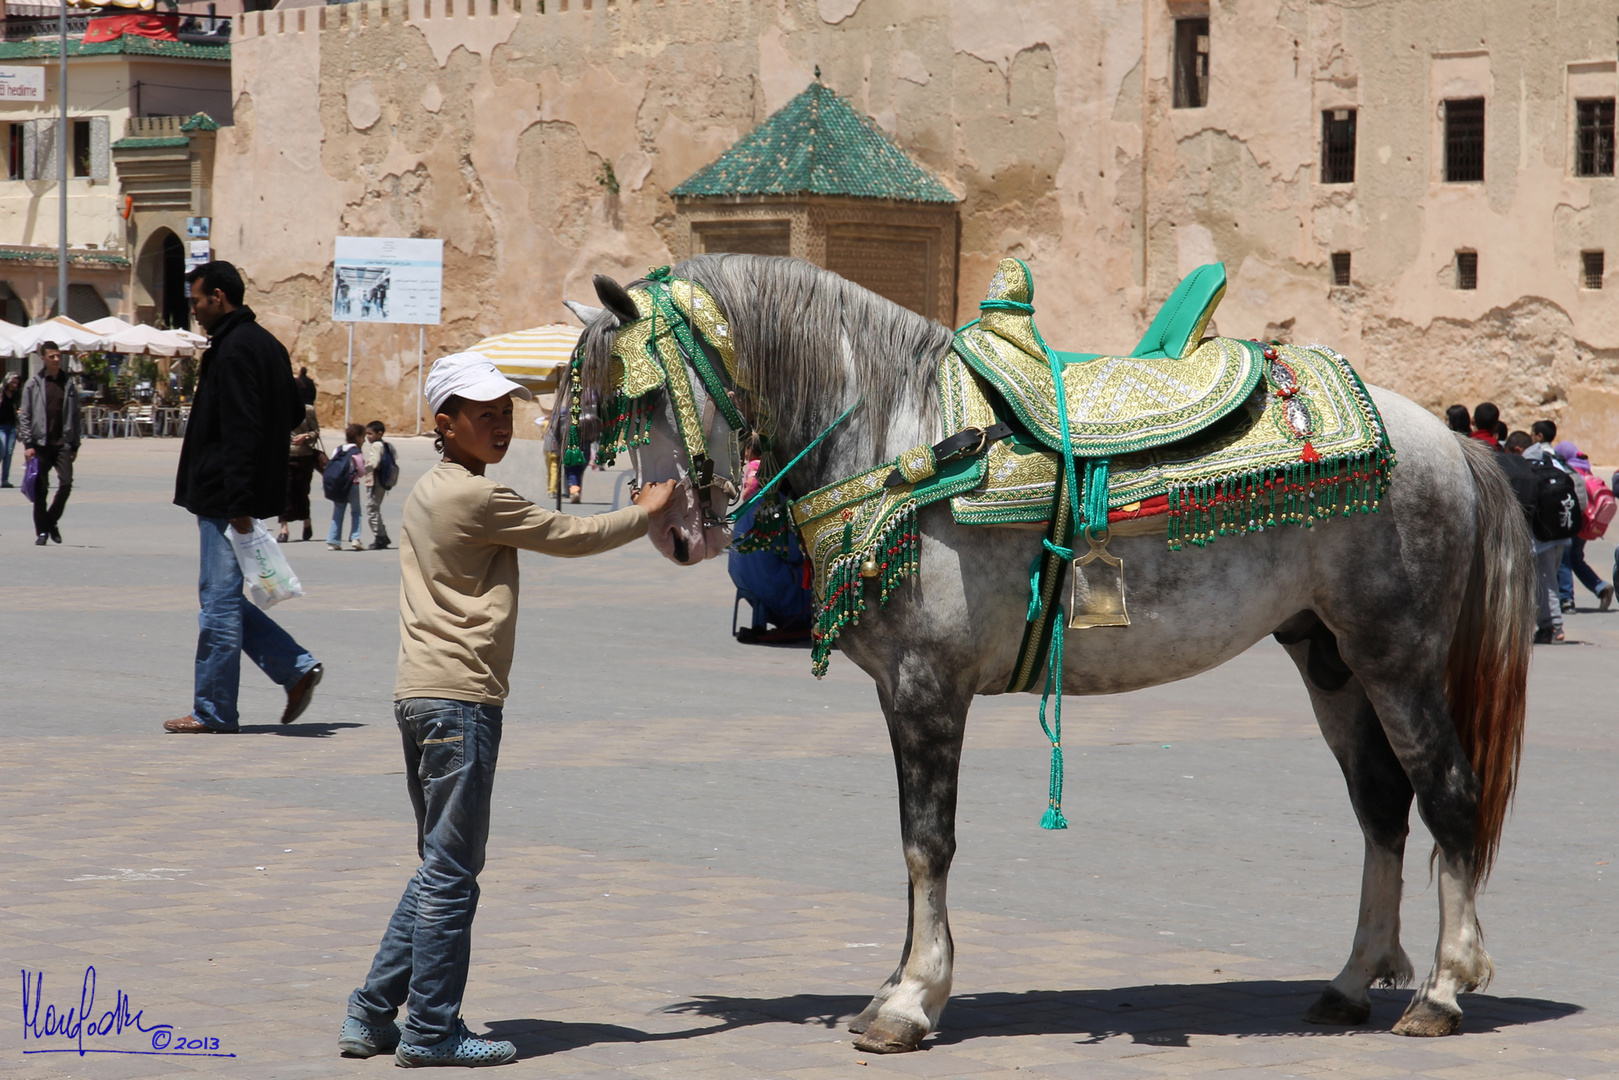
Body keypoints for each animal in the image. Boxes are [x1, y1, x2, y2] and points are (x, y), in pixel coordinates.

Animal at [576, 255, 1534, 1055]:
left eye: (647, 395)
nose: (673, 529)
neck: (905, 436)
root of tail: (1446, 439)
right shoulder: (897, 690)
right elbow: (907, 840)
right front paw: (893, 986)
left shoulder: (928, 685)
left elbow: (926, 843)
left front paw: (909, 1002)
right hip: (1327, 658)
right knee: (1379, 808)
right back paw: (1350, 981)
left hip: (1396, 656)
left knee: (1447, 795)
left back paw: (1443, 991)